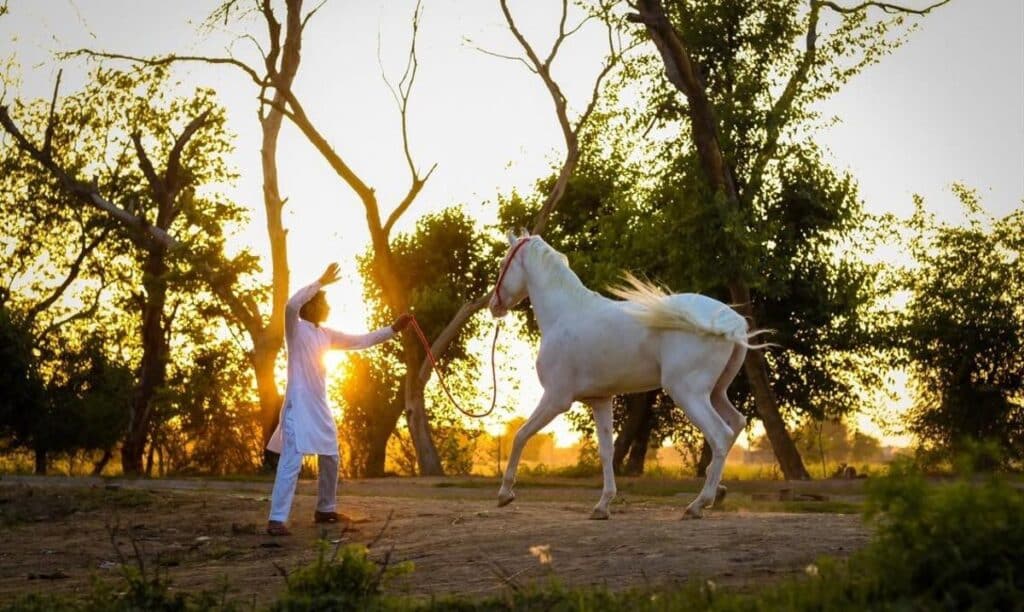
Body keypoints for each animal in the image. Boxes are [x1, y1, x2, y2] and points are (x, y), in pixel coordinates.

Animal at [488, 230, 763, 519]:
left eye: (502, 264)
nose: (494, 306)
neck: (566, 315)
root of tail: (733, 322)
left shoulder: (555, 399)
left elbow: (520, 435)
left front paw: (505, 494)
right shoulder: (600, 400)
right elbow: (607, 451)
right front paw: (603, 505)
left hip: (688, 393)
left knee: (720, 434)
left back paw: (698, 504)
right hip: (716, 392)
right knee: (736, 423)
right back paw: (714, 490)